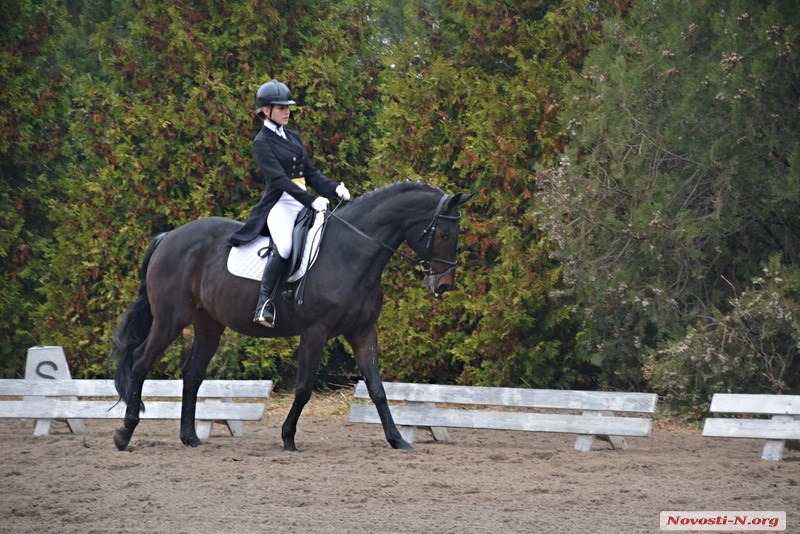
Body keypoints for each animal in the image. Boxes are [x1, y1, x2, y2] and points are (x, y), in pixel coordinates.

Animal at [109, 182, 472, 454]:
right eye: (444, 234)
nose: (444, 285)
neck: (350, 253)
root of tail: (168, 237)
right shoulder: (315, 331)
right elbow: (303, 387)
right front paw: (287, 437)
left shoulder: (363, 332)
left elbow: (377, 388)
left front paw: (397, 439)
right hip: (170, 320)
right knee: (140, 362)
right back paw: (124, 434)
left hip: (208, 325)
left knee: (192, 374)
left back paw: (190, 438)